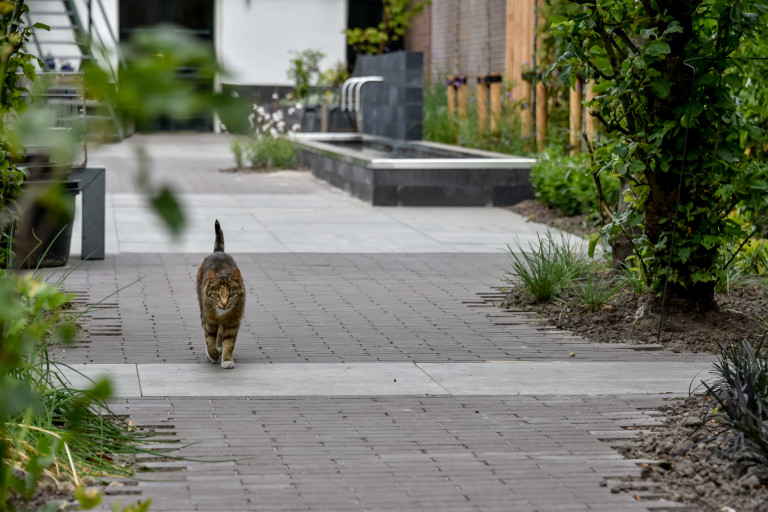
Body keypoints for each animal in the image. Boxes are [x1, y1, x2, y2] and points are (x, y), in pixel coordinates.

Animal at [196, 220, 244, 368]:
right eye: (216, 295)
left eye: (231, 295)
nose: (223, 304)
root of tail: (218, 252)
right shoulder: (209, 320)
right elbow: (209, 340)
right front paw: (213, 354)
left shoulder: (233, 322)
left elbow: (229, 342)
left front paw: (227, 359)